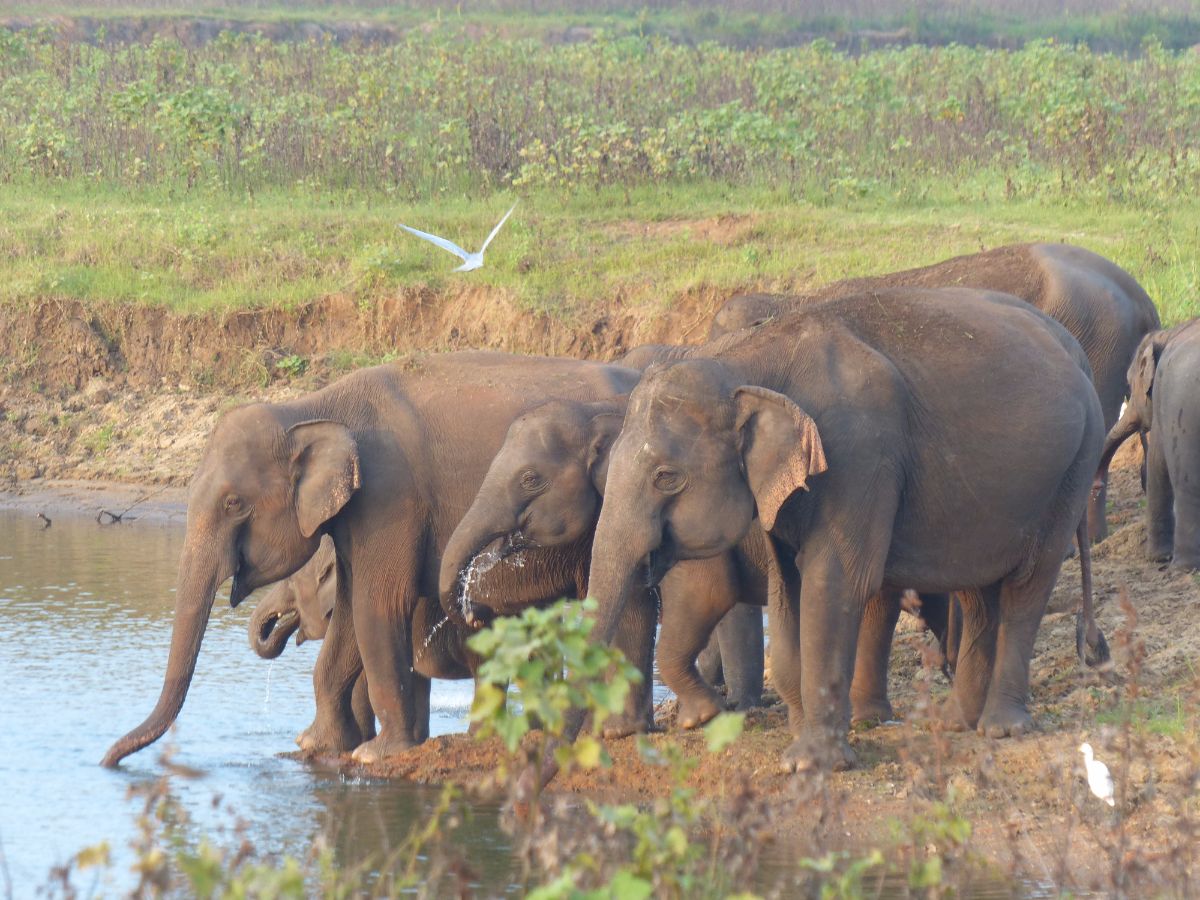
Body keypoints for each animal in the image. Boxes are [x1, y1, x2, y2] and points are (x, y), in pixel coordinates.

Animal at [100, 351, 658, 768]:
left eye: (234, 503)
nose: (107, 759)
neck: (312, 407)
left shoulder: (392, 498)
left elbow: (375, 606)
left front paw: (376, 755)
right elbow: (348, 617)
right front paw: (316, 744)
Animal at [579, 287, 1104, 773]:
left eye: (666, 477)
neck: (748, 359)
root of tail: (1077, 350)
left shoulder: (858, 452)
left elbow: (834, 581)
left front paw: (812, 763)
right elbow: (787, 588)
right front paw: (799, 743)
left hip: (1073, 466)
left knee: (1027, 585)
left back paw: (1001, 728)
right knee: (978, 592)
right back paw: (955, 723)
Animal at [1096, 319, 1200, 570]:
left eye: (1128, 381)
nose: (1096, 486)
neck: (1167, 333)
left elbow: (1157, 463)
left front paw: (1157, 557)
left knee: (1186, 480)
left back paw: (1183, 567)